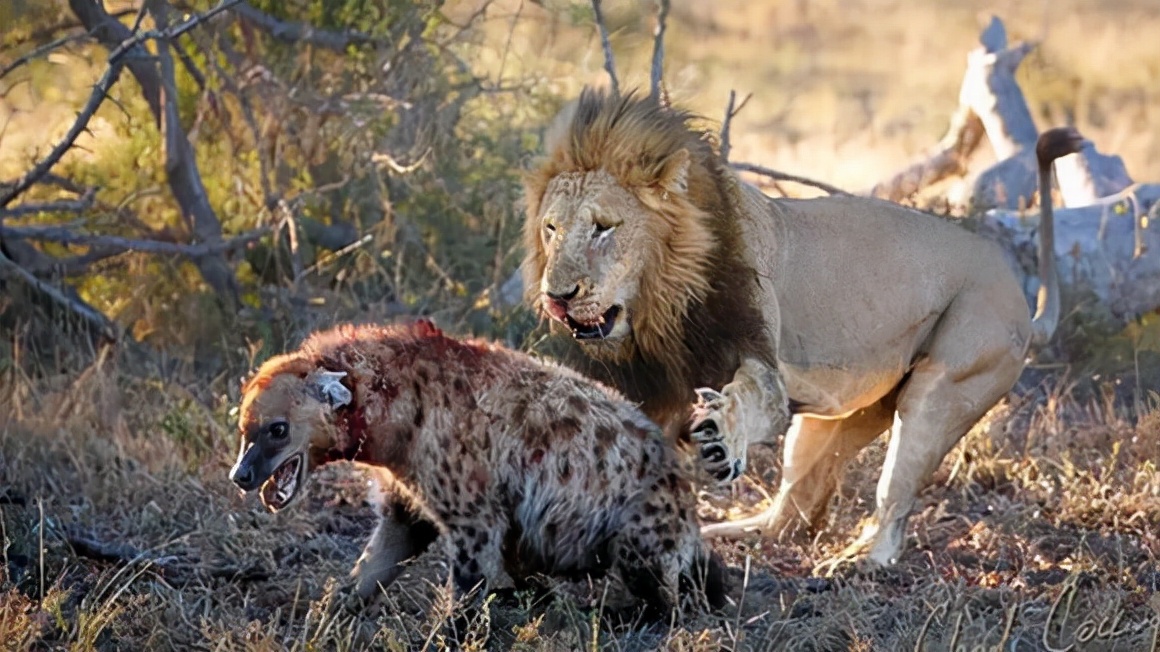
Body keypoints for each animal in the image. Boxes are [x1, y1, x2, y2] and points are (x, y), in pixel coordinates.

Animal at [226, 317, 723, 612]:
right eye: (244, 430)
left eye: (277, 430)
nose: (240, 476)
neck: (398, 411)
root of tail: (685, 493)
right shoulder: (407, 502)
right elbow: (374, 564)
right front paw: (332, 608)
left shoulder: (474, 514)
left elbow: (464, 588)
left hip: (642, 534)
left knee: (664, 596)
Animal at [522, 87, 1081, 568]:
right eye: (551, 228)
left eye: (604, 227)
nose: (557, 297)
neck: (661, 310)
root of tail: (1018, 295)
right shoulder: (649, 386)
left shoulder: (755, 357)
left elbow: (753, 399)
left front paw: (719, 440)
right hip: (835, 421)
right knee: (788, 515)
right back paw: (730, 533)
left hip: (943, 390)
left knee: (893, 500)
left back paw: (858, 564)